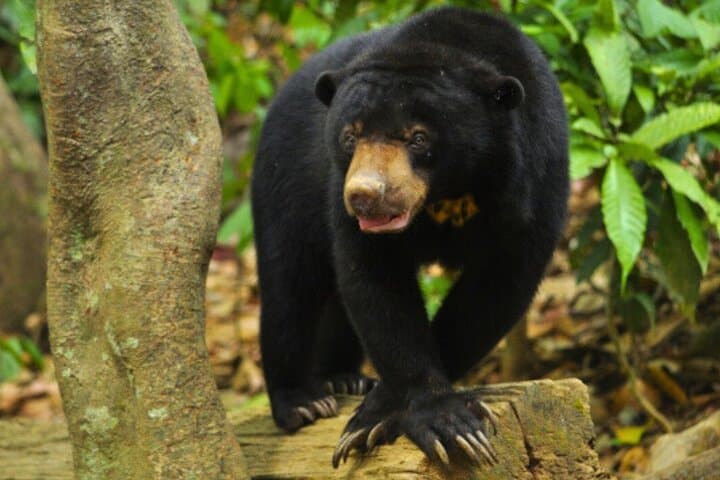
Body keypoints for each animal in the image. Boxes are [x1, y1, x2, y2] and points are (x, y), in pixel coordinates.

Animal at [251, 6, 568, 468]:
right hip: (284, 175)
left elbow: (495, 290)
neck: (449, 193)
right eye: (350, 136)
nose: (364, 195)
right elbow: (375, 282)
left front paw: (388, 411)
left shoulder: (534, 184)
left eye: (418, 138)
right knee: (289, 285)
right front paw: (434, 422)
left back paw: (343, 379)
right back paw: (303, 402)